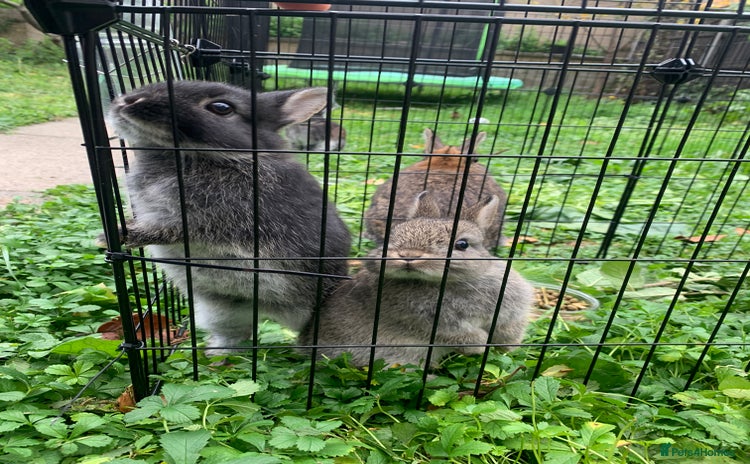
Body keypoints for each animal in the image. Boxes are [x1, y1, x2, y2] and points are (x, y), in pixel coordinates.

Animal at [107, 80, 352, 355]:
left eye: (221, 108)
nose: (128, 101)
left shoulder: (212, 222)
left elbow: (166, 231)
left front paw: (116, 235)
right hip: (223, 311)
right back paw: (215, 355)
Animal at [300, 190, 534, 368]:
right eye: (392, 236)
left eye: (462, 244)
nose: (408, 255)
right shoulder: (432, 324)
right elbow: (460, 335)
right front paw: (480, 345)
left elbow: (509, 329)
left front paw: (507, 347)